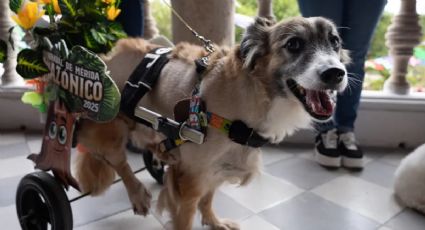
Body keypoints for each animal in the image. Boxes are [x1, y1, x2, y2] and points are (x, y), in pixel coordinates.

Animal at [74, 16, 350, 230]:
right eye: (293, 44)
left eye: (335, 41)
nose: (335, 73)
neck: (252, 93)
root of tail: (107, 55)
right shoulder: (191, 178)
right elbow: (186, 217)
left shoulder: (216, 168)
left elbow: (208, 199)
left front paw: (214, 221)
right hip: (110, 131)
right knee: (119, 163)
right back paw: (138, 195)